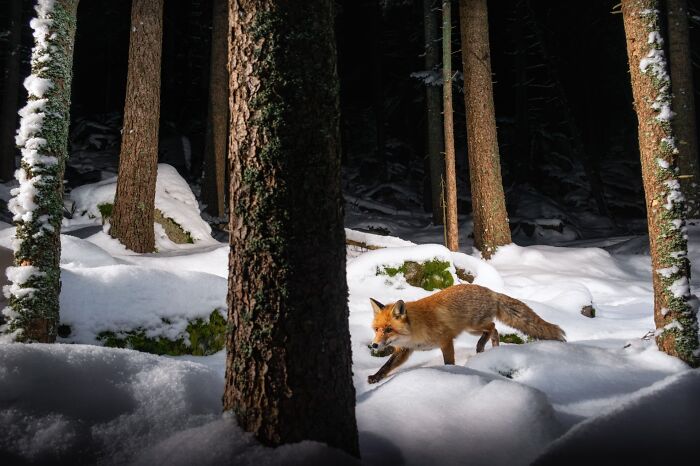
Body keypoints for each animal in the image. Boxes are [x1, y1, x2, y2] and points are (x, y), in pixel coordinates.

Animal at [368, 284, 565, 384]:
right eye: (376, 329)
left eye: (389, 329)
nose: (374, 345)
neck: (415, 330)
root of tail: (491, 291)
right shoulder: (405, 350)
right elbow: (387, 365)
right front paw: (376, 377)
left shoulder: (446, 340)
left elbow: (449, 362)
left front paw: (451, 374)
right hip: (472, 329)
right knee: (495, 331)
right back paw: (494, 348)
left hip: (473, 325)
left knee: (493, 326)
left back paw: (482, 347)